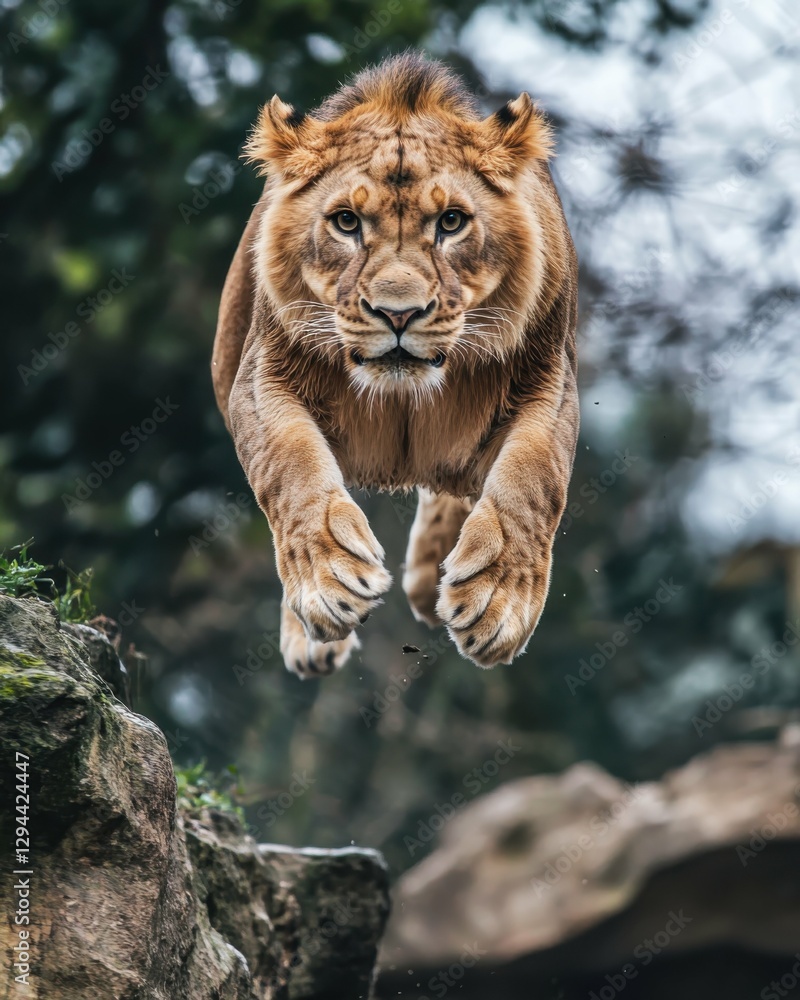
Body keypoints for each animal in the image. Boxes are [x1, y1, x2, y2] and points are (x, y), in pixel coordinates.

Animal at [212, 52, 579, 678]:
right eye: (346, 222)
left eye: (452, 222)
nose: (398, 313)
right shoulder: (260, 380)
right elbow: (291, 469)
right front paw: (329, 583)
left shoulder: (551, 384)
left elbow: (530, 482)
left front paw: (496, 603)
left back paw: (435, 574)